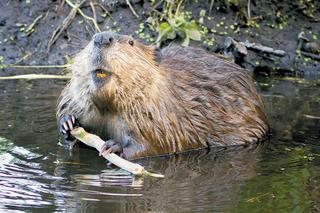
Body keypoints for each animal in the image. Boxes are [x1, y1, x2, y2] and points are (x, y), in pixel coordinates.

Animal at [56, 31, 268, 158]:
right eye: (91, 38)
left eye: (131, 42)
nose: (101, 38)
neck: (108, 106)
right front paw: (68, 123)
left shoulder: (159, 118)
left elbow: (155, 145)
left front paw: (114, 147)